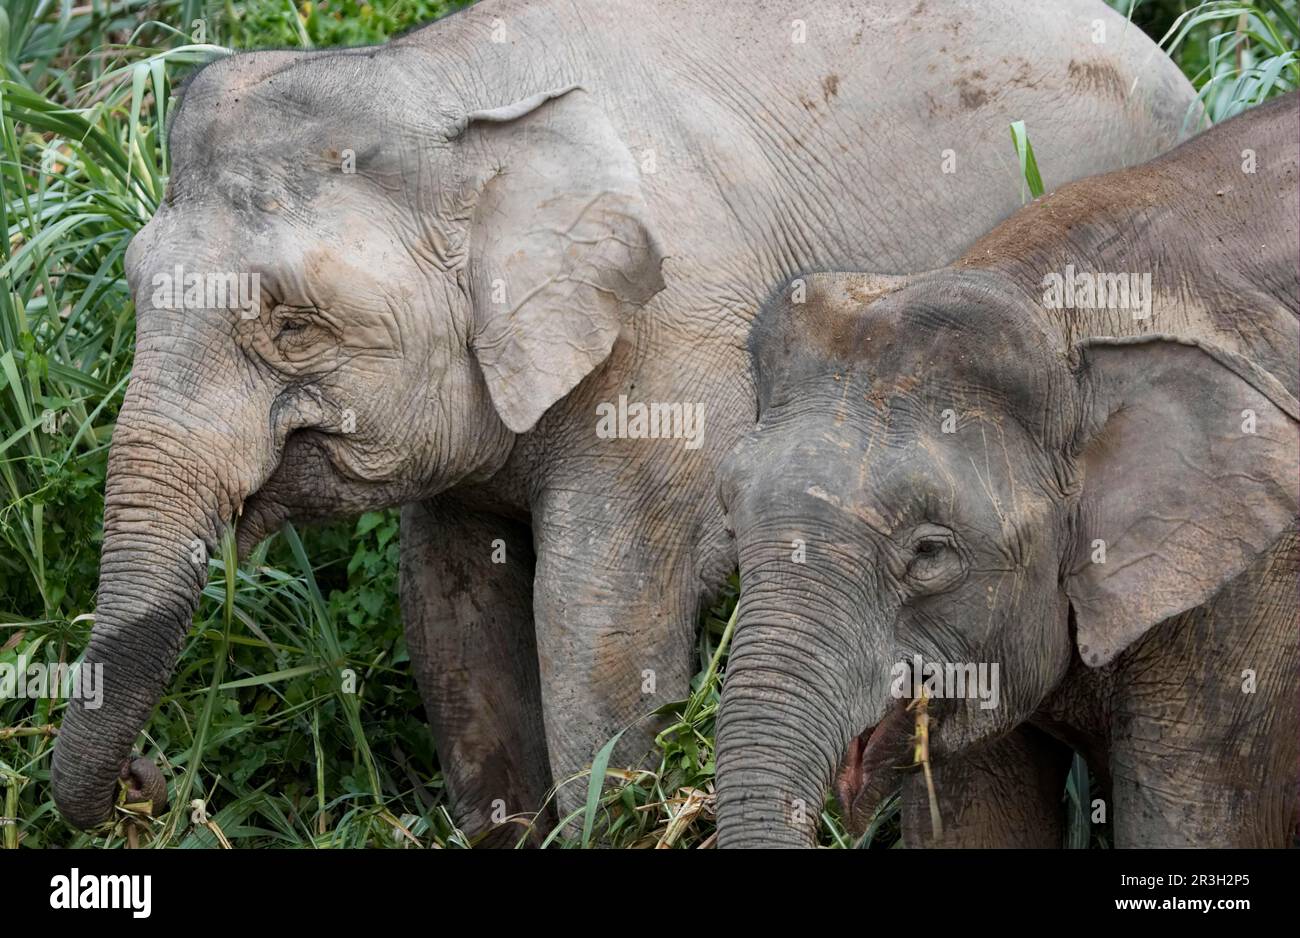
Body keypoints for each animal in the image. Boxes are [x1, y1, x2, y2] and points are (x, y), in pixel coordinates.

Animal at [50, 0, 1196, 836]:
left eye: (290, 322)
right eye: (134, 284)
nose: (156, 779)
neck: (453, 89)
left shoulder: (669, 361)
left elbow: (594, 630)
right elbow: (452, 618)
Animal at [717, 92, 1294, 847]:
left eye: (930, 554)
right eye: (730, 524)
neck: (1055, 310)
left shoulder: (1250, 606)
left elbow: (1194, 823)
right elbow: (977, 822)